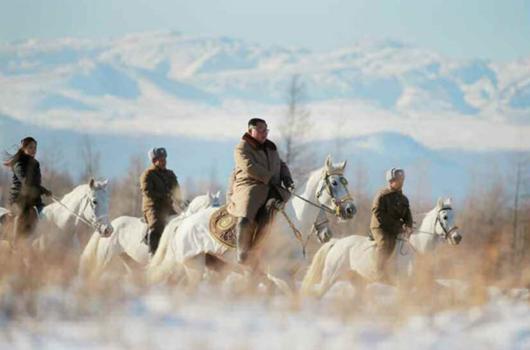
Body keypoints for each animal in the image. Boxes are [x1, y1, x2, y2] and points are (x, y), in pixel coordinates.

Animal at [146, 156, 356, 292]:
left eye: (346, 182)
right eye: (335, 183)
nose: (351, 209)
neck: (293, 224)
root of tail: (184, 222)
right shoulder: (279, 275)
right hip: (194, 266)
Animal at [300, 198, 460, 296]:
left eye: (454, 216)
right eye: (445, 217)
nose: (457, 237)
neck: (419, 247)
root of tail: (338, 242)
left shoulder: (426, 282)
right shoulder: (404, 286)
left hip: (359, 283)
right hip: (330, 277)